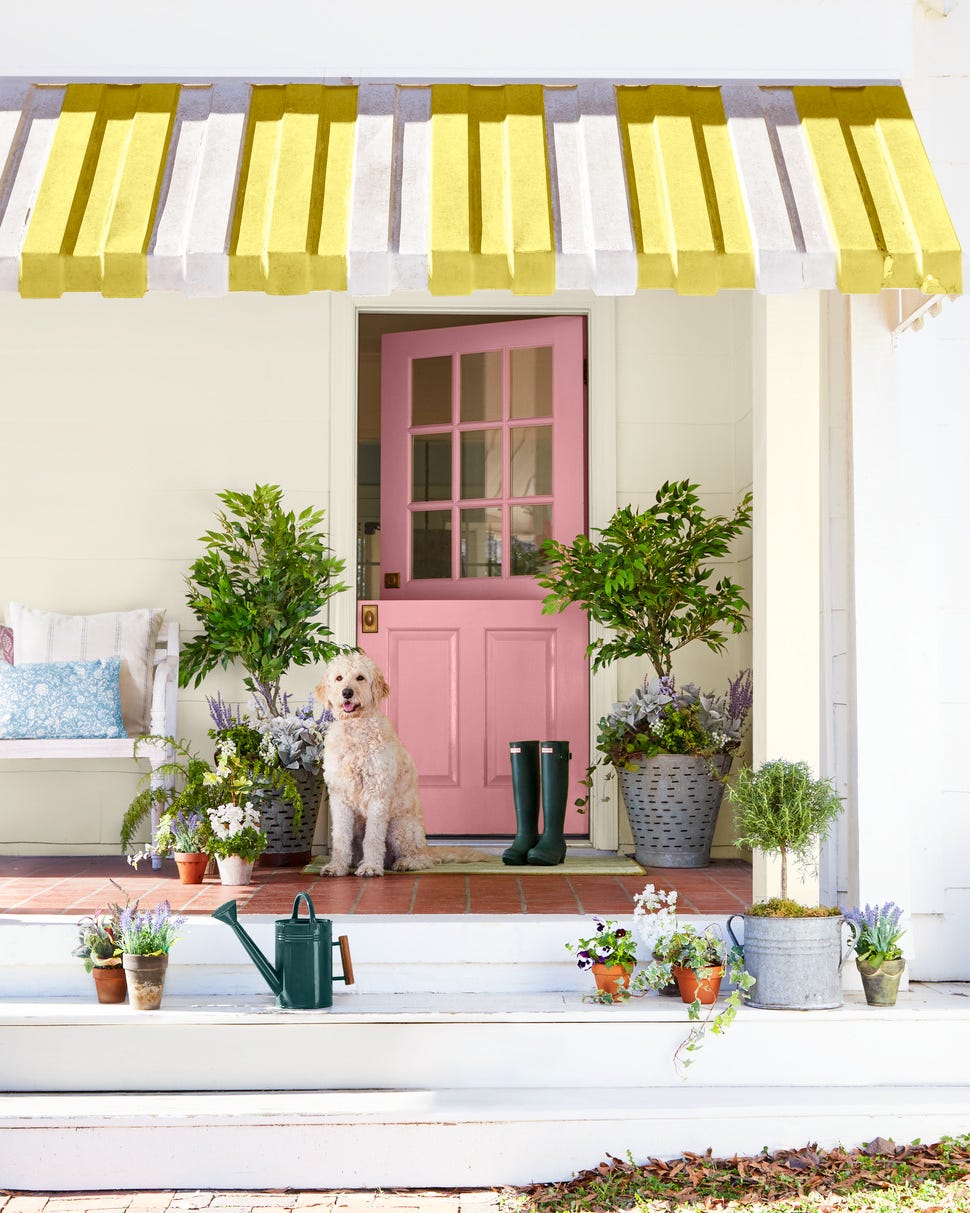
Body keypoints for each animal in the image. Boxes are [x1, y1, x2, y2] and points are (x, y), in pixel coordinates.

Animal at [315, 650, 489, 878]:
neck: (356, 729)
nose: (347, 692)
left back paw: (405, 863)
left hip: (400, 827)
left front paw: (370, 866)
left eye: (360, 677)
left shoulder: (378, 795)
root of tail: (426, 846)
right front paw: (336, 866)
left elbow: (373, 838)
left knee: (422, 859)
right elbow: (340, 837)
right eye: (339, 678)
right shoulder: (340, 797)